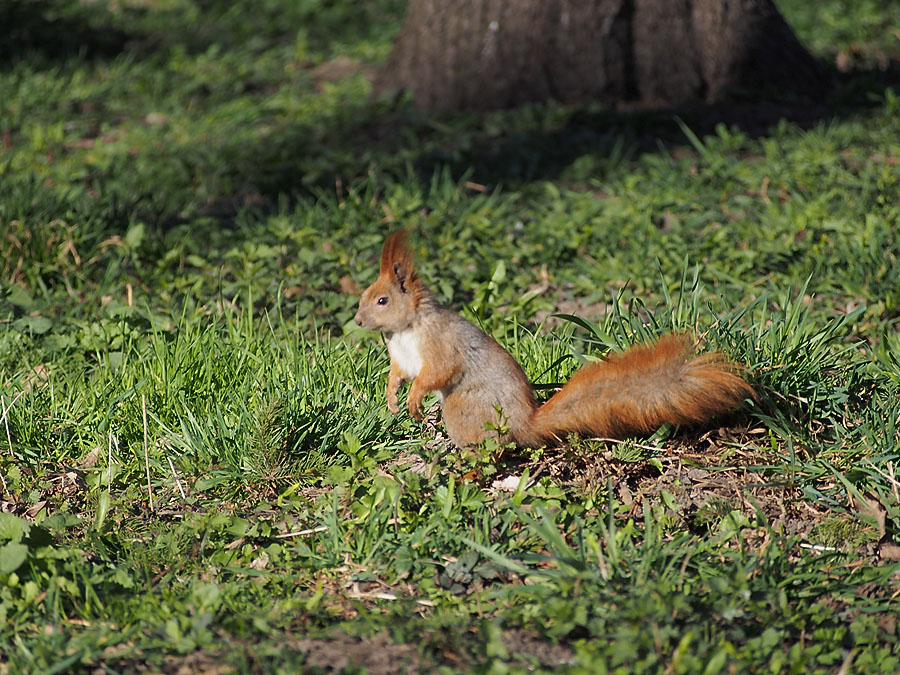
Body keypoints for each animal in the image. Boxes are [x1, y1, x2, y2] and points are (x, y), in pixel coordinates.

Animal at [352, 232, 752, 448]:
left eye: (382, 300)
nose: (356, 320)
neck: (406, 328)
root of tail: (525, 424)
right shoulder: (402, 356)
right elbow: (399, 373)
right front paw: (392, 397)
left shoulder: (440, 345)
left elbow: (437, 372)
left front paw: (414, 399)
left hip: (465, 407)